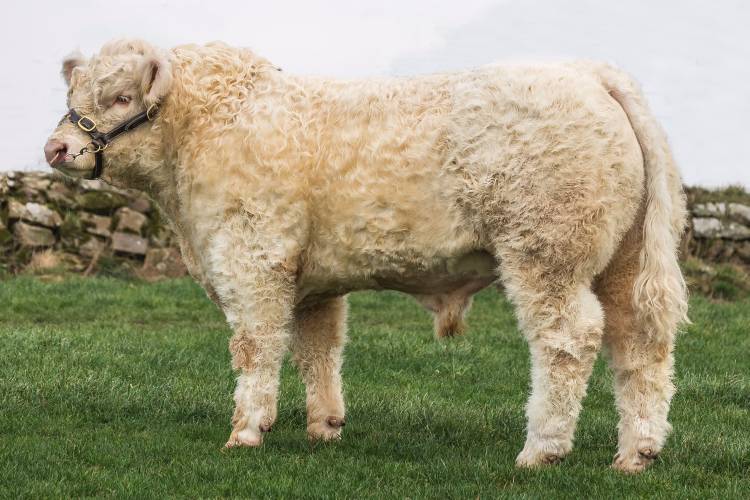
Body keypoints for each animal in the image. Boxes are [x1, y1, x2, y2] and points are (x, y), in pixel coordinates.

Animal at [44, 39, 688, 473]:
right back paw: (637, 453)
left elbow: (256, 346)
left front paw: (246, 431)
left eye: (121, 96)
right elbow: (318, 349)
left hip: (546, 253)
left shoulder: (253, 260)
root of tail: (590, 72)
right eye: (72, 93)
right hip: (623, 261)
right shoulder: (312, 282)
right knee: (640, 344)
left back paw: (541, 450)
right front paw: (324, 426)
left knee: (569, 340)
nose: (56, 148)